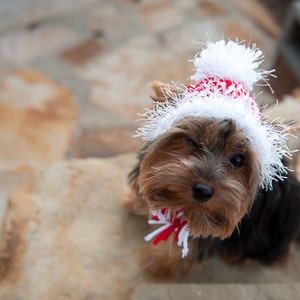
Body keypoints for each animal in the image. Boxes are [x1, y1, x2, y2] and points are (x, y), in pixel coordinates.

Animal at [122, 40, 300, 276]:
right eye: (192, 141)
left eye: (238, 159)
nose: (203, 191)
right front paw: (135, 202)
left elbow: (180, 249)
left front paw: (154, 263)